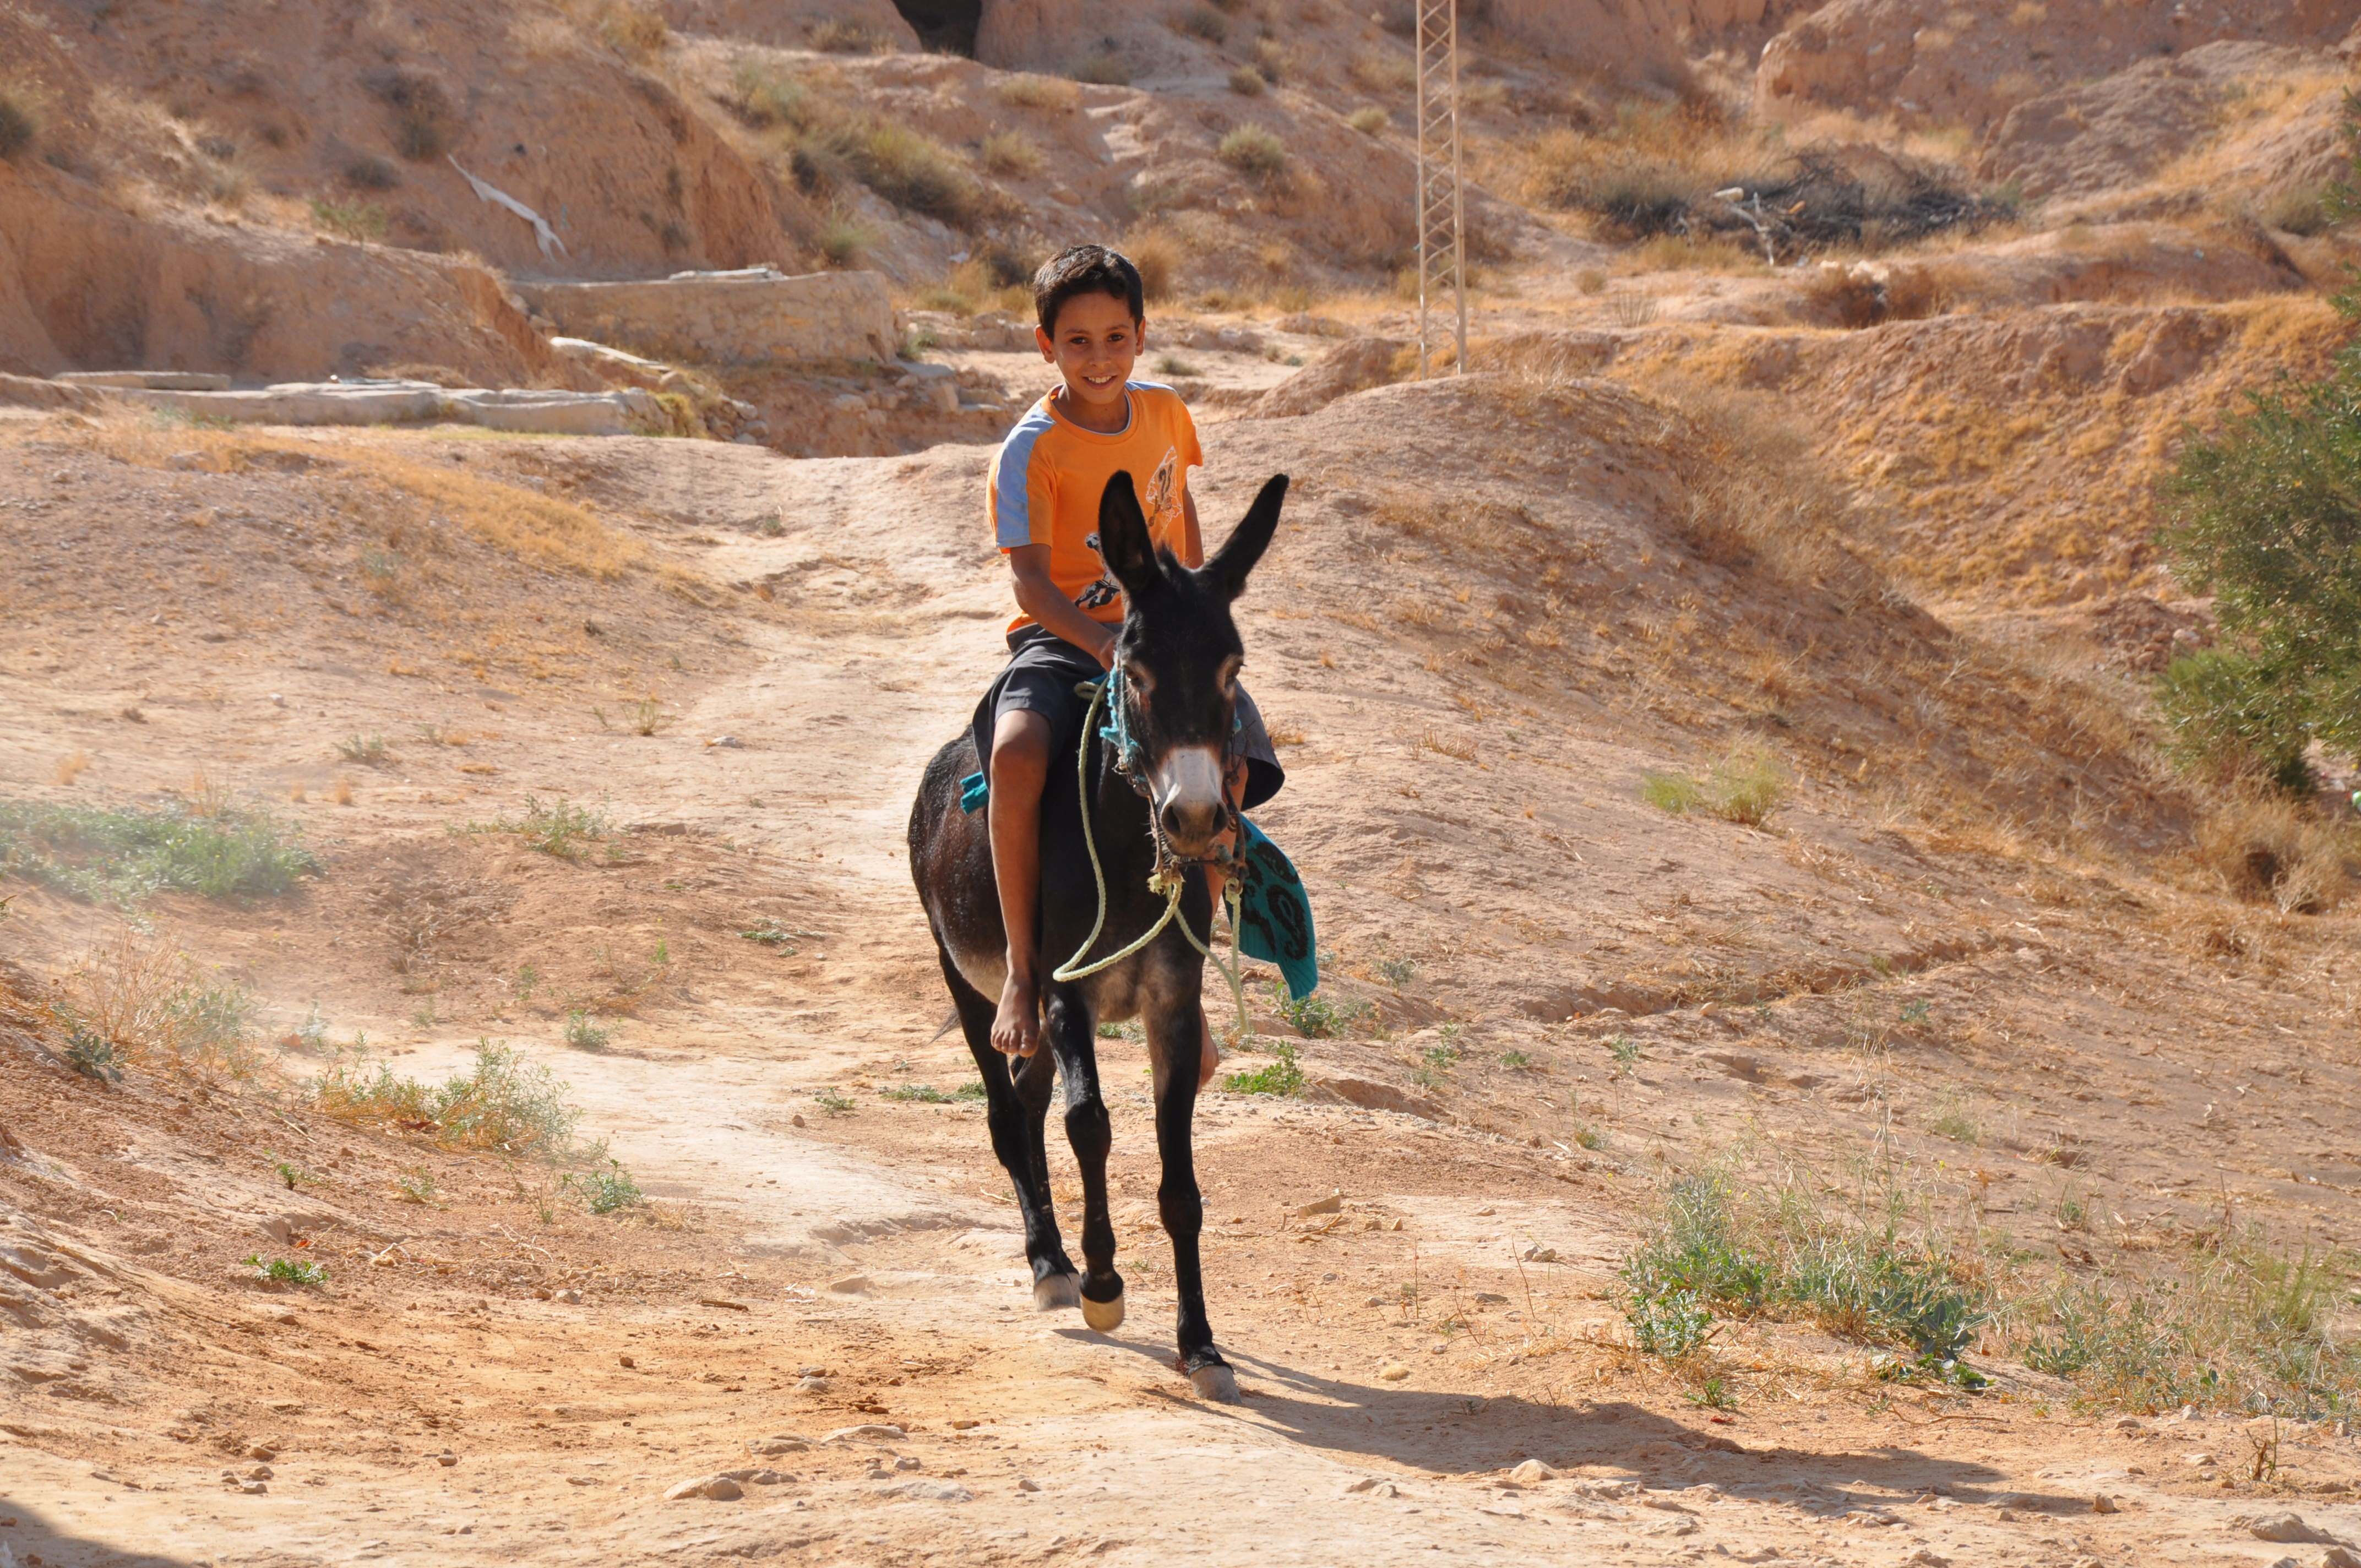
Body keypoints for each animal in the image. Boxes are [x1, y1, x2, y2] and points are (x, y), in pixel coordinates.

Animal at [906, 467, 1288, 1402]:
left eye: (1233, 668)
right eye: (1136, 669)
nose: (1196, 821)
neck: (1122, 838)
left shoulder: (1172, 1002)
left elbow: (1179, 1175)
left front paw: (1201, 1345)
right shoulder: (1063, 988)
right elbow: (1091, 1125)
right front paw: (1106, 1285)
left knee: (1028, 1094)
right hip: (974, 981)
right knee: (1007, 1112)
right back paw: (1052, 1264)